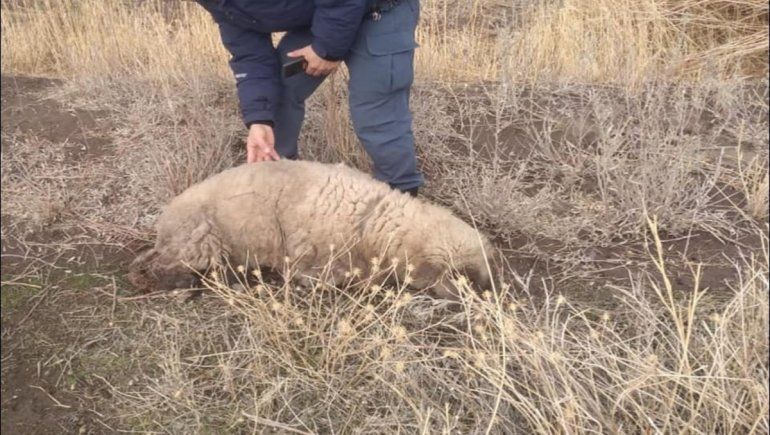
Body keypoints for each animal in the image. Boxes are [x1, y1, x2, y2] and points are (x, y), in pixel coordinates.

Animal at [128, 160, 494, 299]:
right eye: (466, 276)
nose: (489, 294)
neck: (372, 218)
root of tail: (162, 229)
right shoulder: (313, 261)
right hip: (199, 240)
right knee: (161, 268)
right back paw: (183, 286)